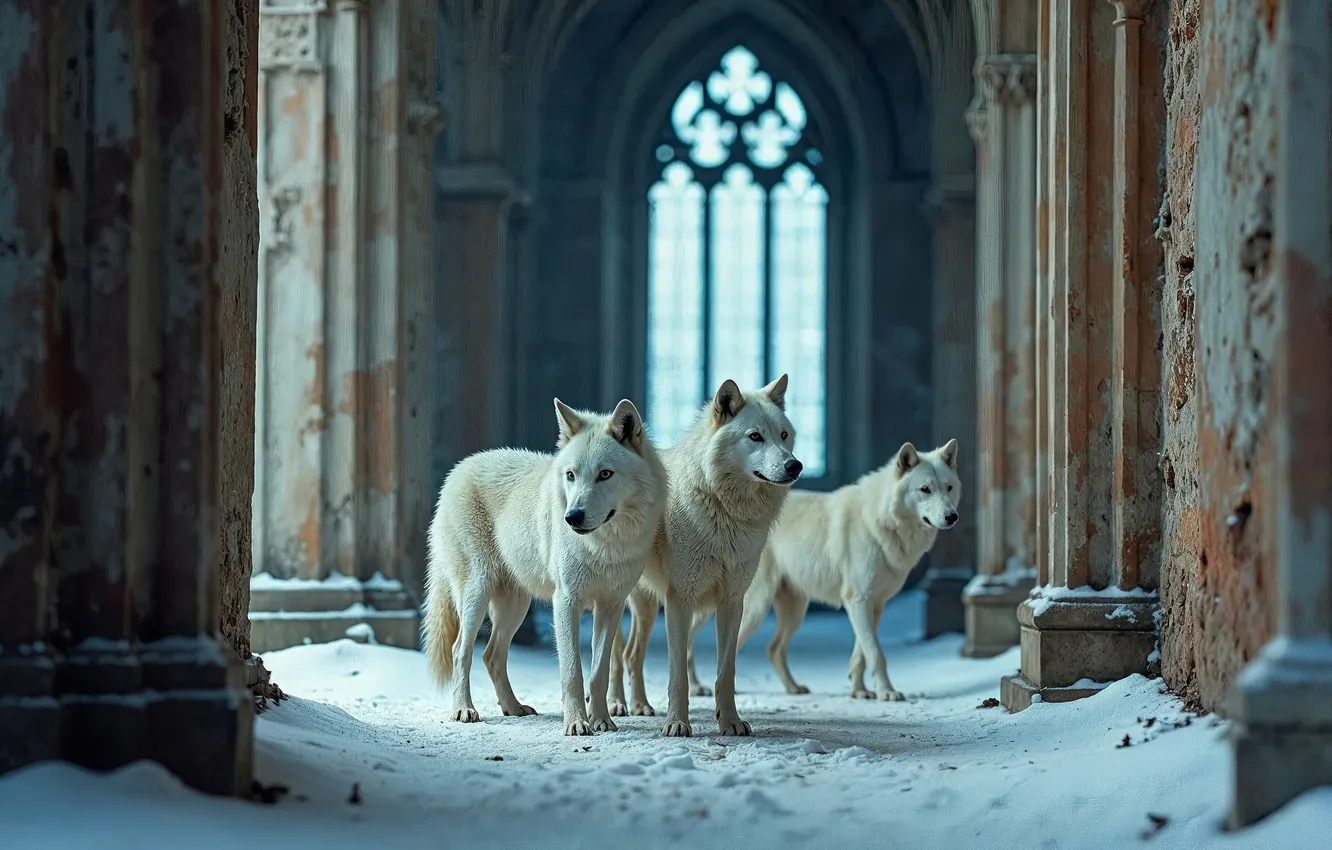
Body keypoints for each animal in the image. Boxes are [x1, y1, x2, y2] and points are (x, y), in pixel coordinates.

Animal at [422, 398, 667, 736]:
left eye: (605, 474)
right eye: (571, 475)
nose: (572, 517)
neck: (605, 547)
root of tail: (457, 471)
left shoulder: (611, 606)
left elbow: (600, 671)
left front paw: (602, 721)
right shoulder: (565, 601)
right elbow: (573, 671)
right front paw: (577, 723)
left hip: (515, 607)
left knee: (491, 655)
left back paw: (513, 708)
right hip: (477, 594)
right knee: (461, 649)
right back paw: (463, 709)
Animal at [612, 375, 801, 738]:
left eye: (784, 435)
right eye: (755, 436)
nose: (794, 465)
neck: (725, 513)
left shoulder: (732, 602)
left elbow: (726, 671)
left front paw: (730, 722)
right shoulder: (679, 601)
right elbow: (678, 675)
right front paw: (677, 724)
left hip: (647, 608)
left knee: (631, 655)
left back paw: (640, 705)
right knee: (615, 652)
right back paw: (615, 704)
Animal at [710, 439, 961, 701]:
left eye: (949, 488)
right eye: (925, 489)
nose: (952, 516)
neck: (881, 523)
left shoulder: (874, 605)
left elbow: (862, 654)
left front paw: (859, 691)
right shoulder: (858, 600)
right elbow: (875, 653)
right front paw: (886, 692)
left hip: (795, 612)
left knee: (773, 649)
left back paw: (793, 688)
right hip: (757, 607)